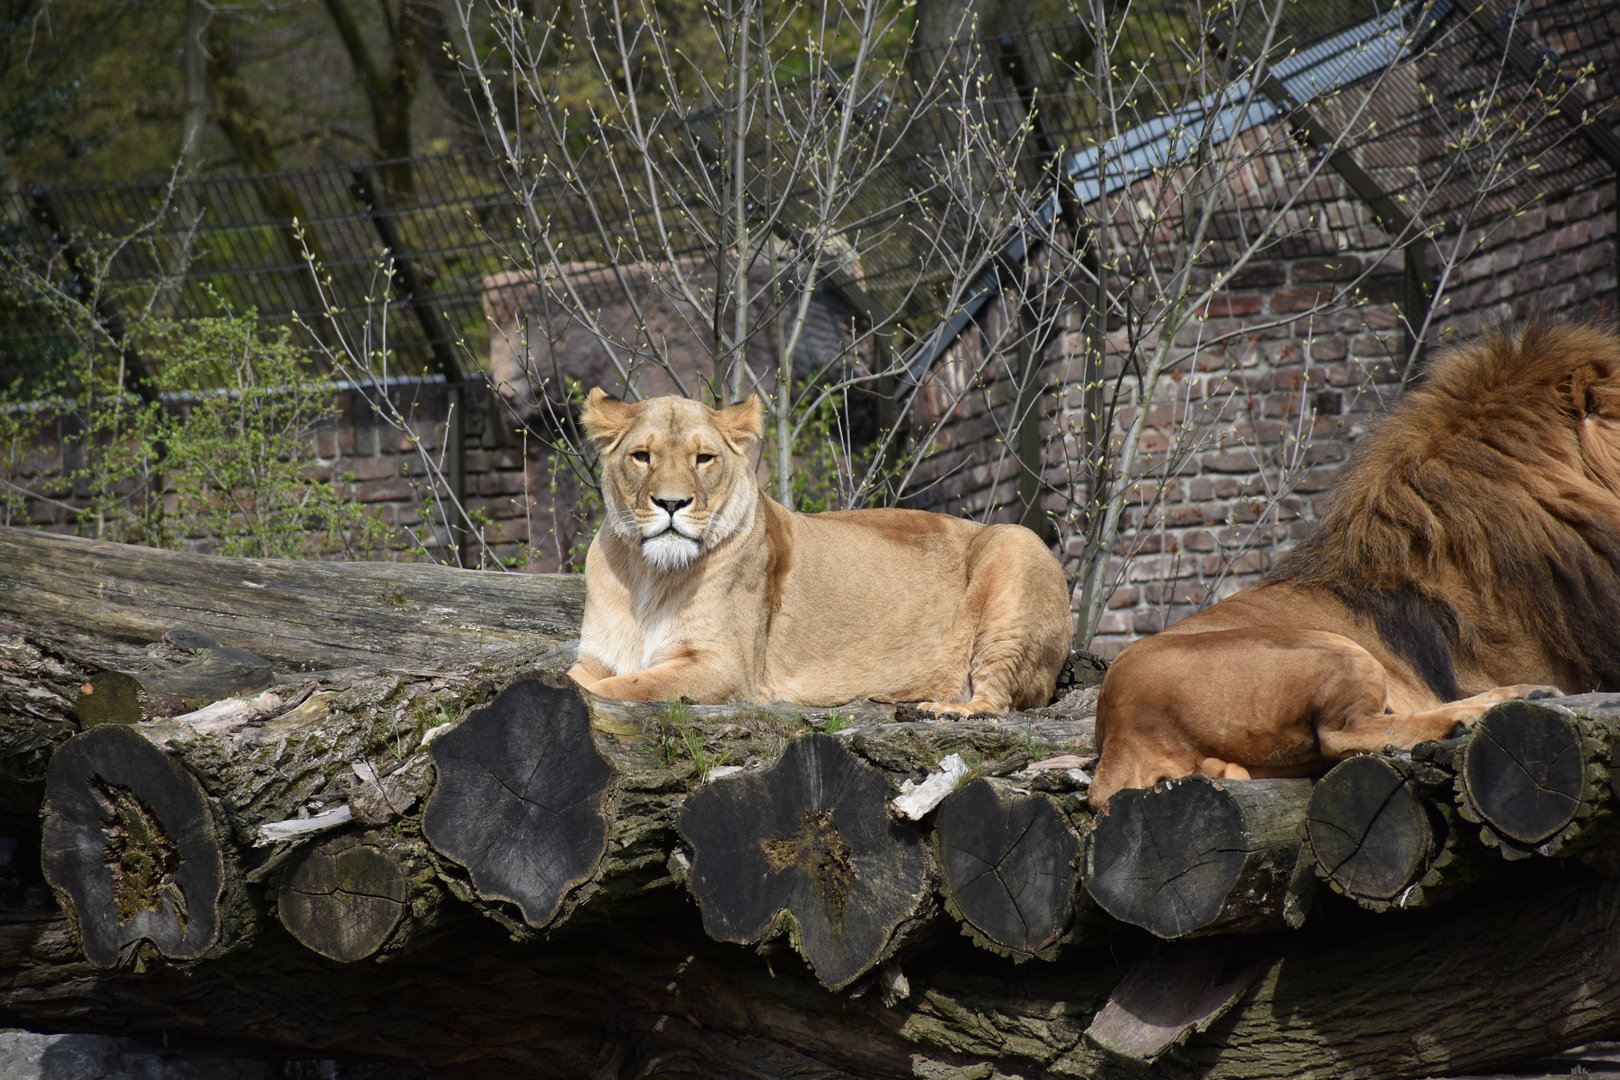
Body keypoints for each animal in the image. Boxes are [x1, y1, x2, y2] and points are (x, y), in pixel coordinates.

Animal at [566, 389, 1073, 711]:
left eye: (703, 459)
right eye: (642, 457)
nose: (671, 503)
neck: (649, 575)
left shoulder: (727, 667)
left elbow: (623, 686)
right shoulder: (596, 657)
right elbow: (584, 677)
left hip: (1016, 544)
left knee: (998, 701)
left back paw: (950, 710)